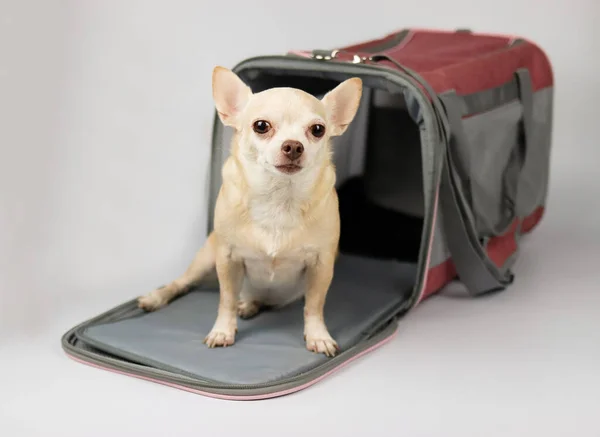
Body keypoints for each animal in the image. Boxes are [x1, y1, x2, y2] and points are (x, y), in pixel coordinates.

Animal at [139, 66, 364, 356]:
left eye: (317, 130)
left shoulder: (321, 266)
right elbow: (225, 300)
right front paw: (222, 331)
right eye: (261, 126)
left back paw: (249, 305)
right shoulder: (227, 259)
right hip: (205, 259)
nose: (293, 145)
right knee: (180, 283)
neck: (278, 198)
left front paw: (318, 336)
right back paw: (156, 298)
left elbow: (314, 306)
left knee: (258, 299)